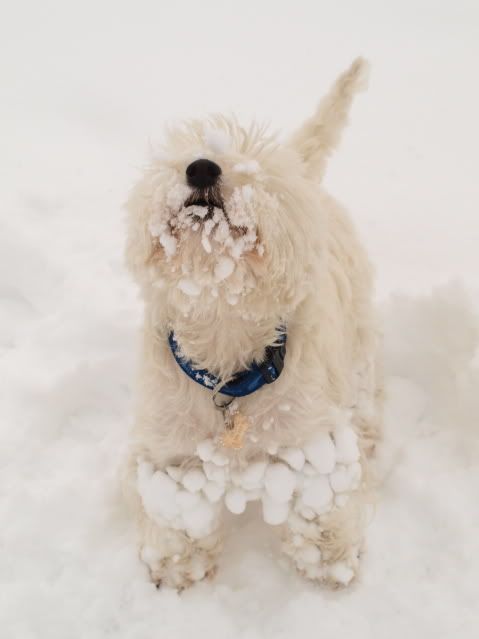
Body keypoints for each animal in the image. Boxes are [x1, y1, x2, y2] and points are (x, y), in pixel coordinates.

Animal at [123, 58, 382, 590]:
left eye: (258, 164)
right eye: (181, 150)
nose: (202, 166)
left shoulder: (313, 442)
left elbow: (323, 508)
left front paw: (330, 562)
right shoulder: (169, 450)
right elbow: (176, 516)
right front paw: (176, 569)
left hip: (359, 335)